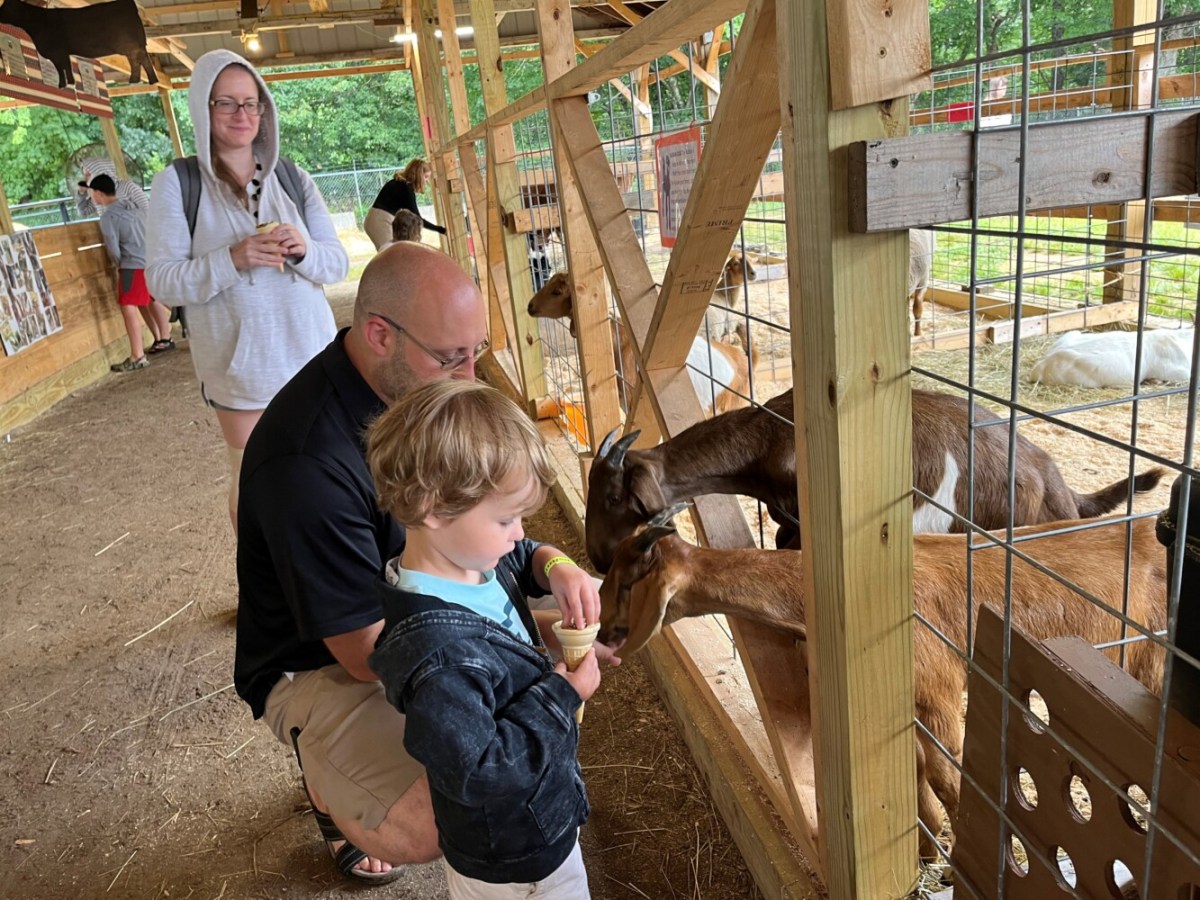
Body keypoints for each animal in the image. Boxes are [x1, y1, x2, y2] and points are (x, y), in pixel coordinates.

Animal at [0, 0, 156, 87]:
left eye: (8, 7)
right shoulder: (56, 54)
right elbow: (61, 69)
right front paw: (63, 84)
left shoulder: (59, 52)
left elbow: (65, 67)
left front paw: (69, 83)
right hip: (130, 47)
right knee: (136, 61)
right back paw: (136, 80)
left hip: (131, 45)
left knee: (142, 60)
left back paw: (149, 80)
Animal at [595, 509, 1168, 859]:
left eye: (627, 584)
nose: (602, 635)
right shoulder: (907, 702)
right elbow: (915, 768)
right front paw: (926, 843)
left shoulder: (937, 692)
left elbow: (949, 776)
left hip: (1155, 666)